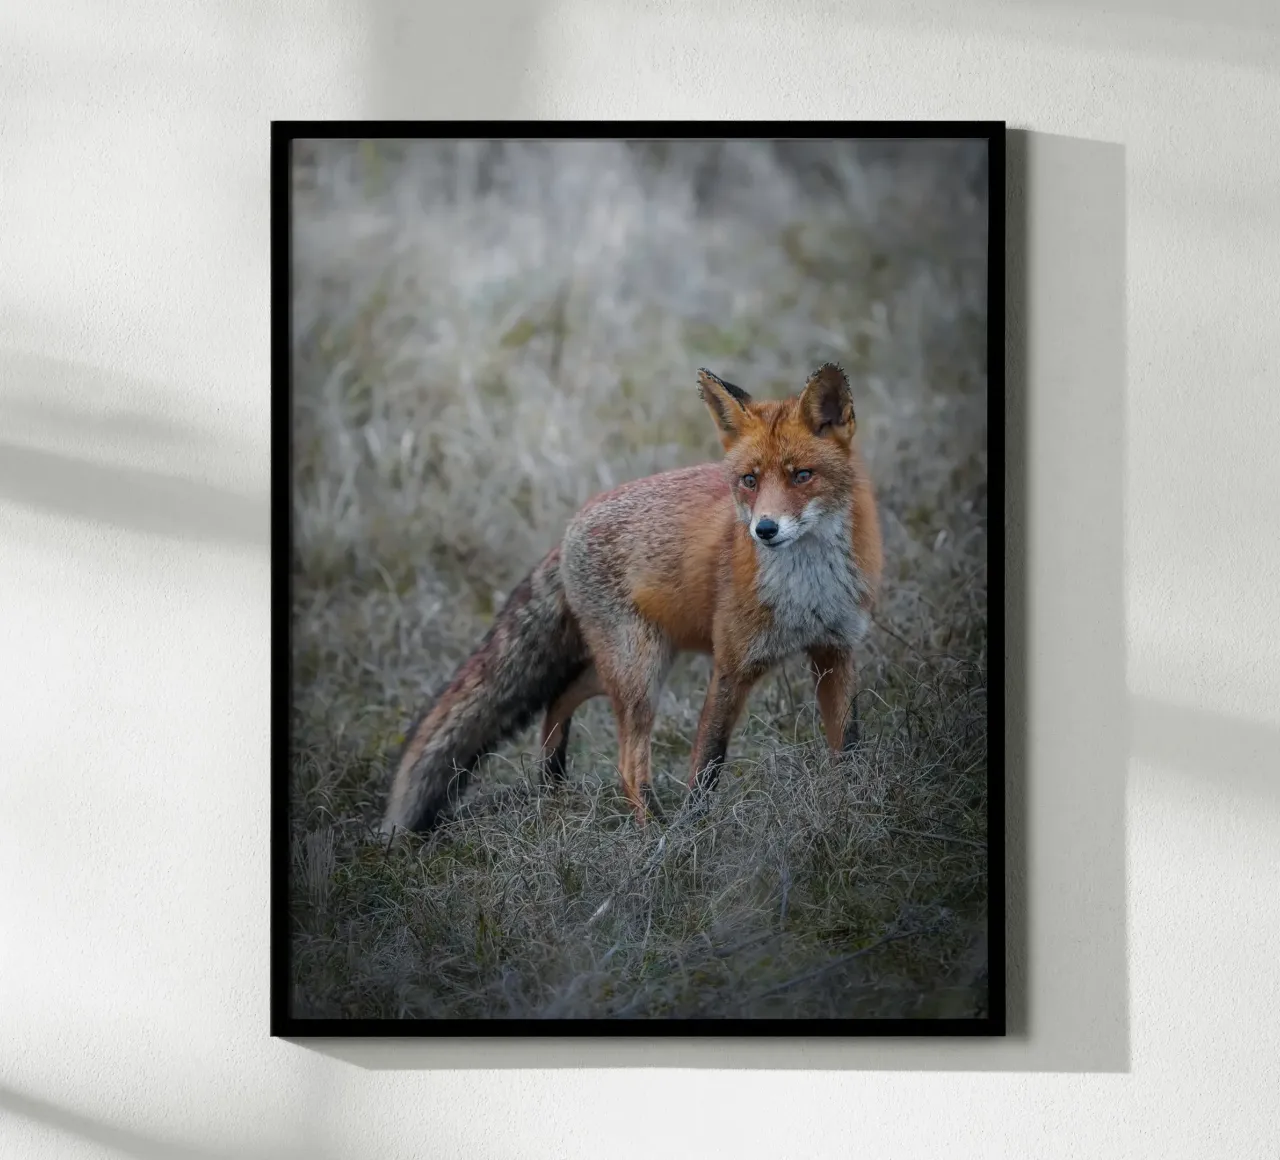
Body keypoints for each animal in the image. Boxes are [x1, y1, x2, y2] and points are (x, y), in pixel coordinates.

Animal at [382, 362, 884, 834]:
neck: (806, 591)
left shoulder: (835, 650)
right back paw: (651, 831)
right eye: (749, 480)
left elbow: (849, 745)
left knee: (560, 695)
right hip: (640, 670)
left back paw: (553, 779)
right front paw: (690, 835)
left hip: (637, 663)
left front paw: (852, 807)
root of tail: (569, 528)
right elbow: (706, 765)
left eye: (802, 476)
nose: (764, 529)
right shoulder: (732, 664)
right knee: (626, 762)